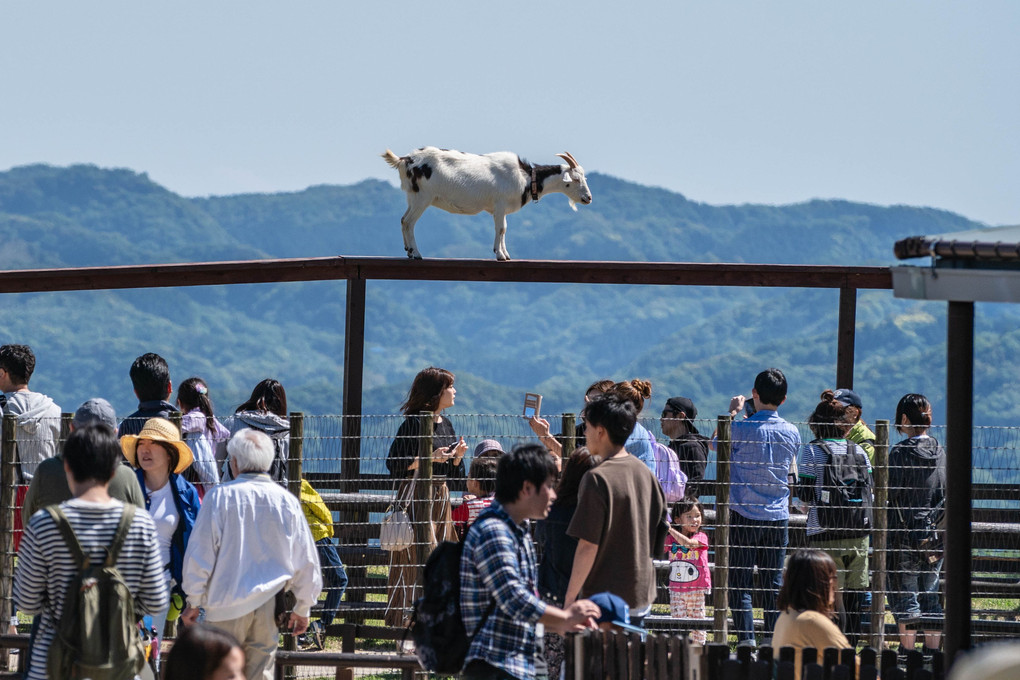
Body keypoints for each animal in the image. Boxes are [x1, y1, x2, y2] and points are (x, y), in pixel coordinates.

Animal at [381, 146, 591, 260]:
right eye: (575, 180)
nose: (588, 198)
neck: (525, 177)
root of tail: (405, 160)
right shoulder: (500, 205)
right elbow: (501, 229)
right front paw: (500, 255)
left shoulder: (499, 209)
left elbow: (503, 229)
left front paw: (505, 254)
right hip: (423, 197)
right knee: (409, 222)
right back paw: (416, 253)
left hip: (413, 196)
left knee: (403, 220)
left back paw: (409, 251)